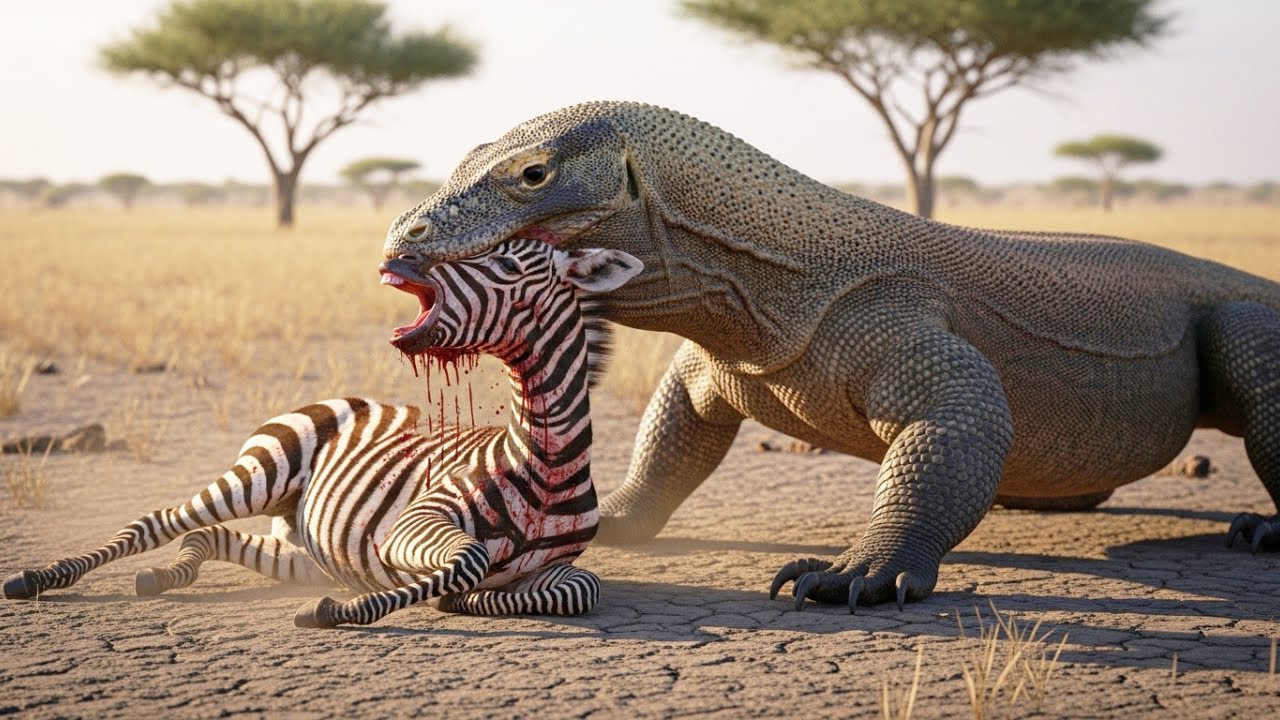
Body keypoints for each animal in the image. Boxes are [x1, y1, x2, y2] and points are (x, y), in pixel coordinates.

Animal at [3, 239, 642, 628]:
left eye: (504, 264)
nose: (400, 259)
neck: (545, 461)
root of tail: (341, 399)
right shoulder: (417, 521)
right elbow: (471, 558)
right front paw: (345, 612)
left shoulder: (559, 568)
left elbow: (580, 587)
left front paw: (466, 598)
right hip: (260, 474)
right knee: (159, 521)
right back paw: (40, 578)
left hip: (310, 549)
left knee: (214, 537)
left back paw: (164, 575)